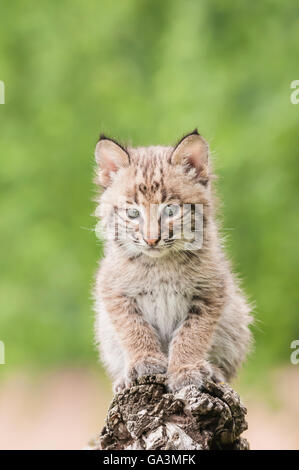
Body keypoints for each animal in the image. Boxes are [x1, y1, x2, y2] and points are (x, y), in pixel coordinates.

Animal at [94, 130, 253, 392]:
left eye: (170, 211)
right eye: (133, 213)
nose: (151, 239)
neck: (161, 264)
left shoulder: (211, 291)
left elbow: (192, 334)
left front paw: (185, 369)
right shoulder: (114, 290)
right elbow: (133, 327)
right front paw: (144, 361)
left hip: (237, 317)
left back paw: (214, 371)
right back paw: (123, 378)